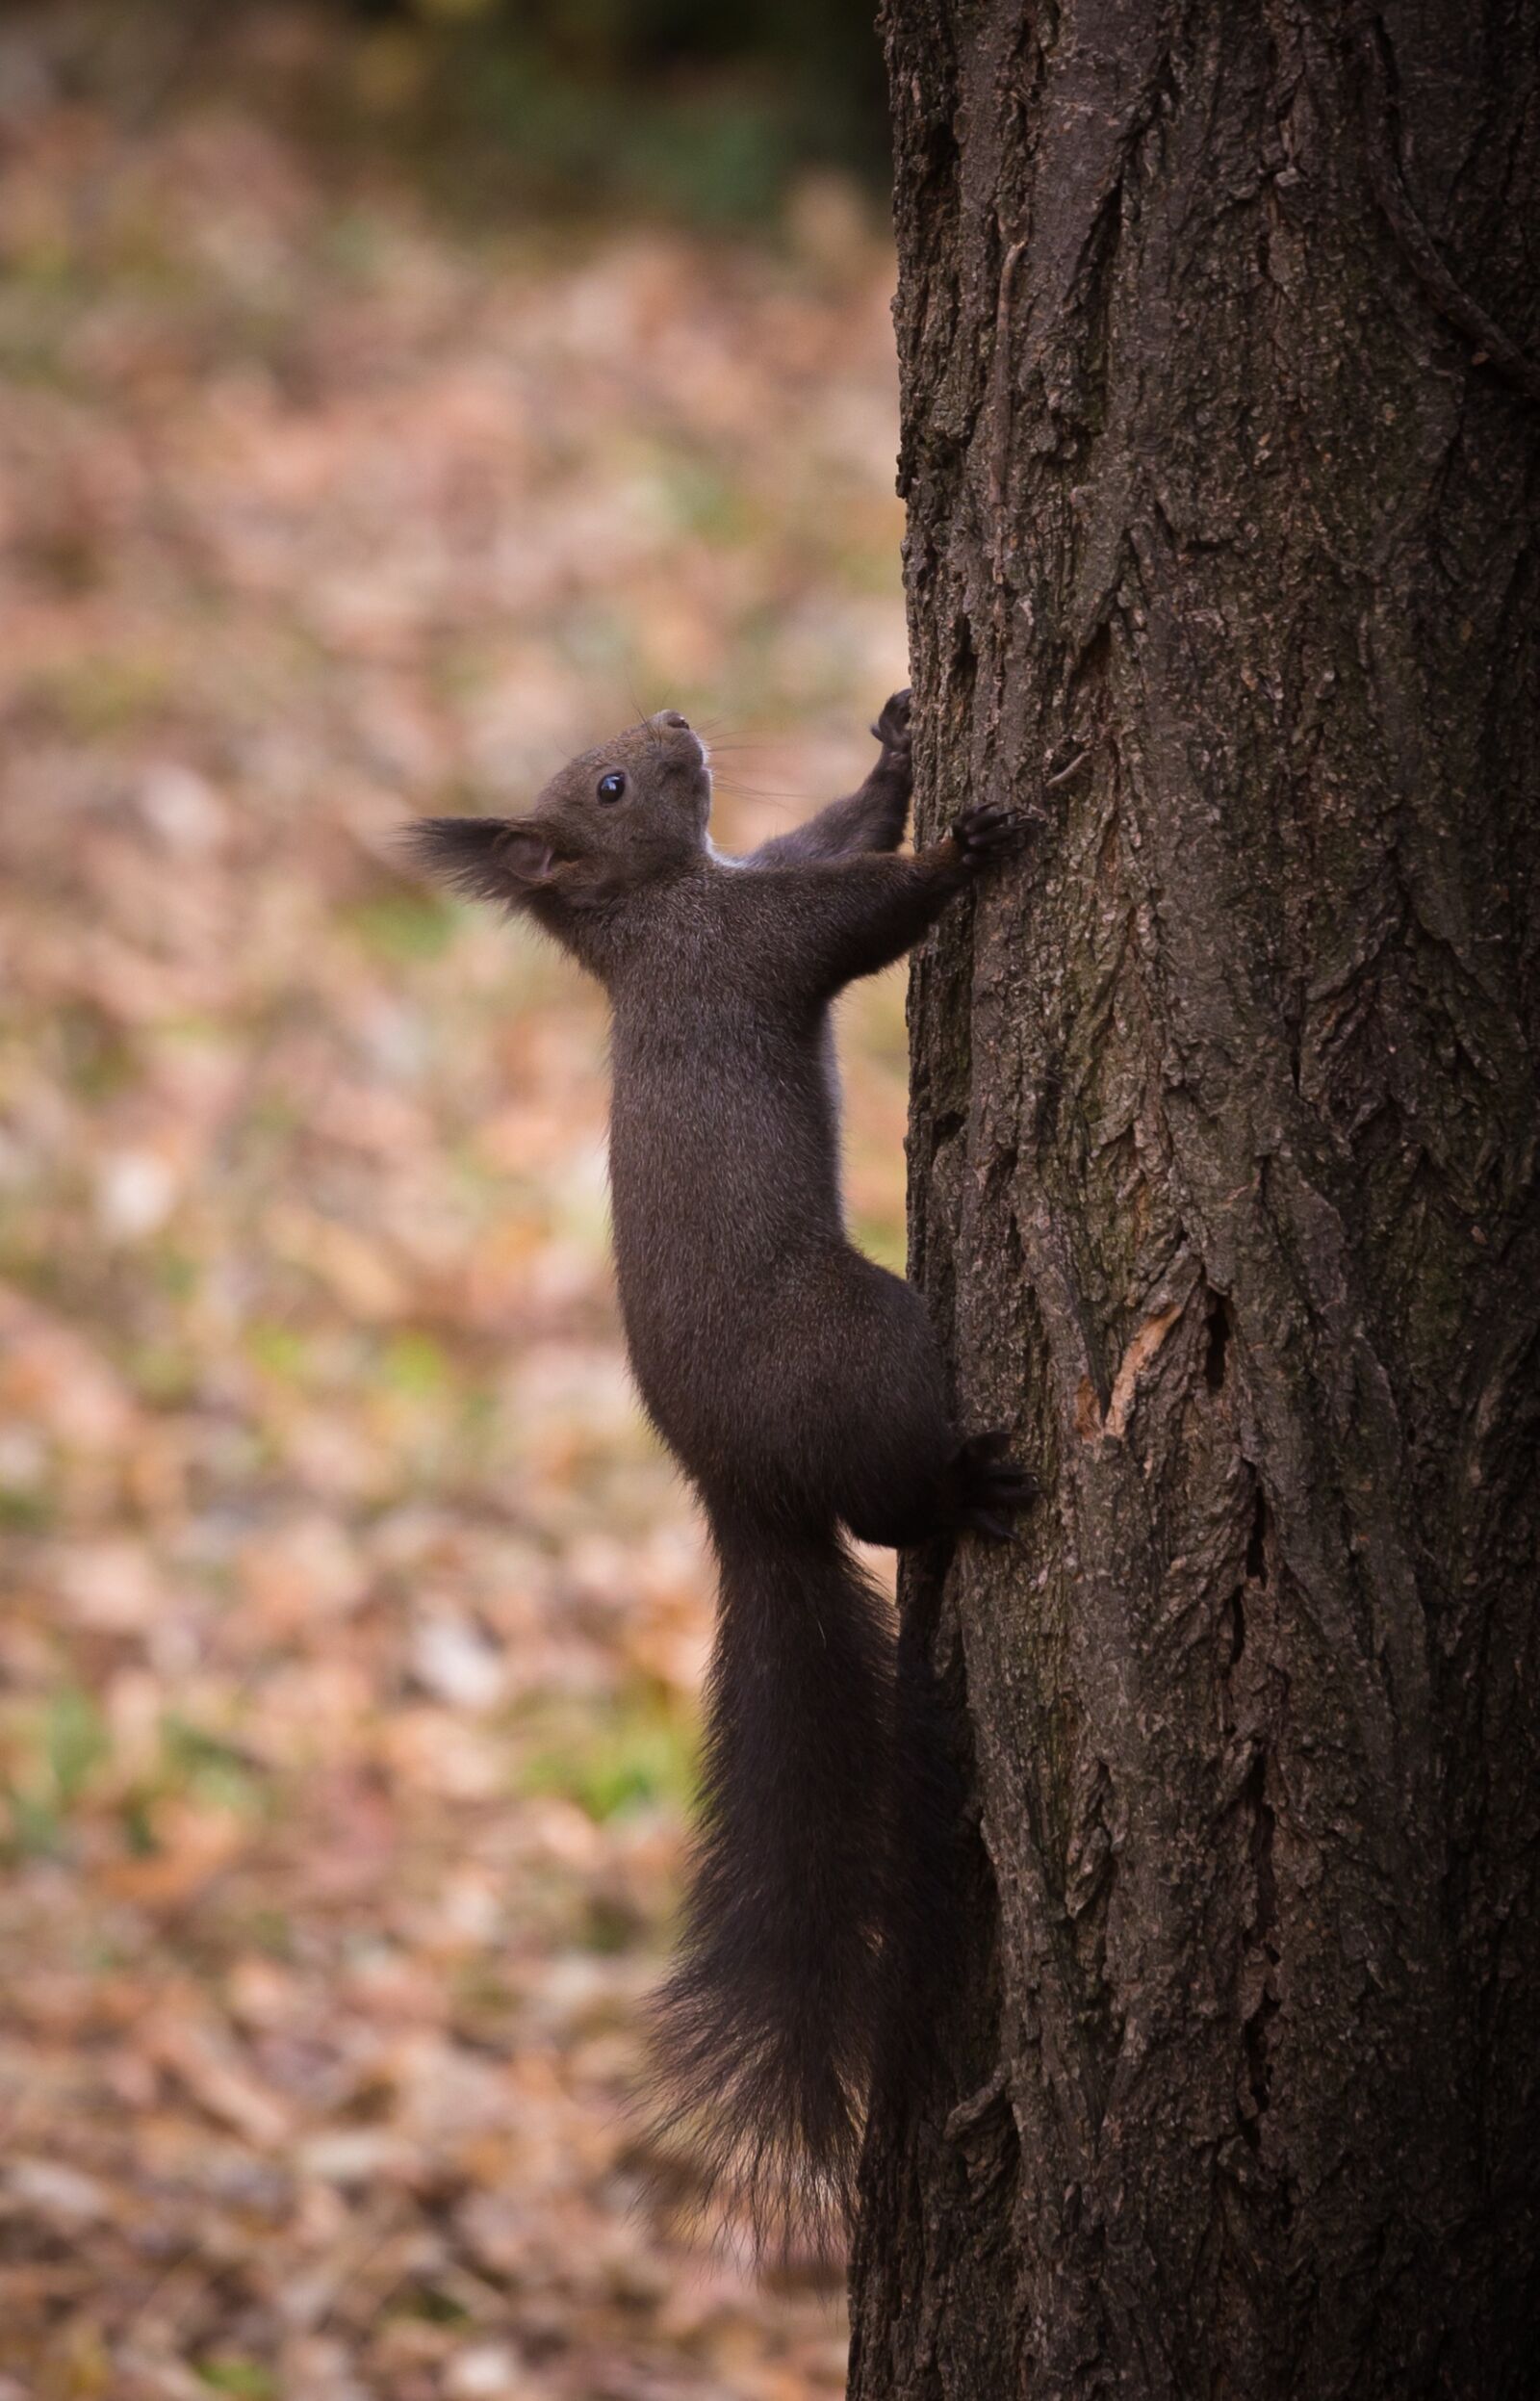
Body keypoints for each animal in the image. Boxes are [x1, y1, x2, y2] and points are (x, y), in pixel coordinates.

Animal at [407, 696, 1031, 2247]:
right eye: (611, 784)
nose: (677, 717)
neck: (659, 906)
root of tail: (737, 1496)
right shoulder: (749, 944)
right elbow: (861, 914)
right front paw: (968, 844)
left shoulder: (758, 875)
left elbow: (830, 831)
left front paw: (898, 747)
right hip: (874, 1342)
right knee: (887, 1505)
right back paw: (964, 1494)